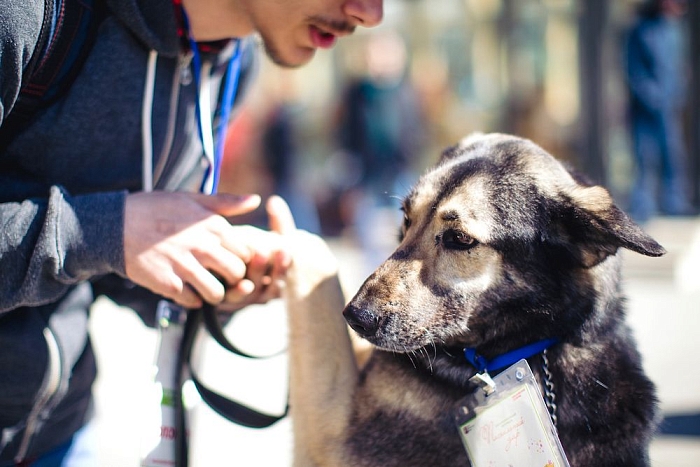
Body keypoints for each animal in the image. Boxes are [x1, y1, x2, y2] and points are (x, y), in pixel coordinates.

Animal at [284, 133, 660, 467]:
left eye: (460, 239)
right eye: (406, 217)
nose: (356, 316)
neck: (537, 344)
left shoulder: (334, 437)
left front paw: (293, 243)